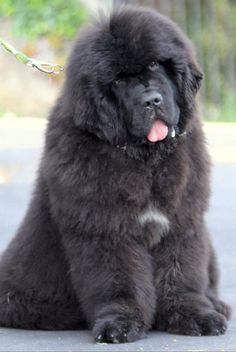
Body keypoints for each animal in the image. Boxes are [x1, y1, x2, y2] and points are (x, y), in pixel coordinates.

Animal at [0, 5, 230, 344]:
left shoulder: (182, 223)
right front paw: (120, 322)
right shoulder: (106, 228)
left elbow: (182, 275)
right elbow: (119, 281)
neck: (145, 160)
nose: (151, 101)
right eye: (119, 80)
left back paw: (217, 304)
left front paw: (196, 315)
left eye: (154, 65)